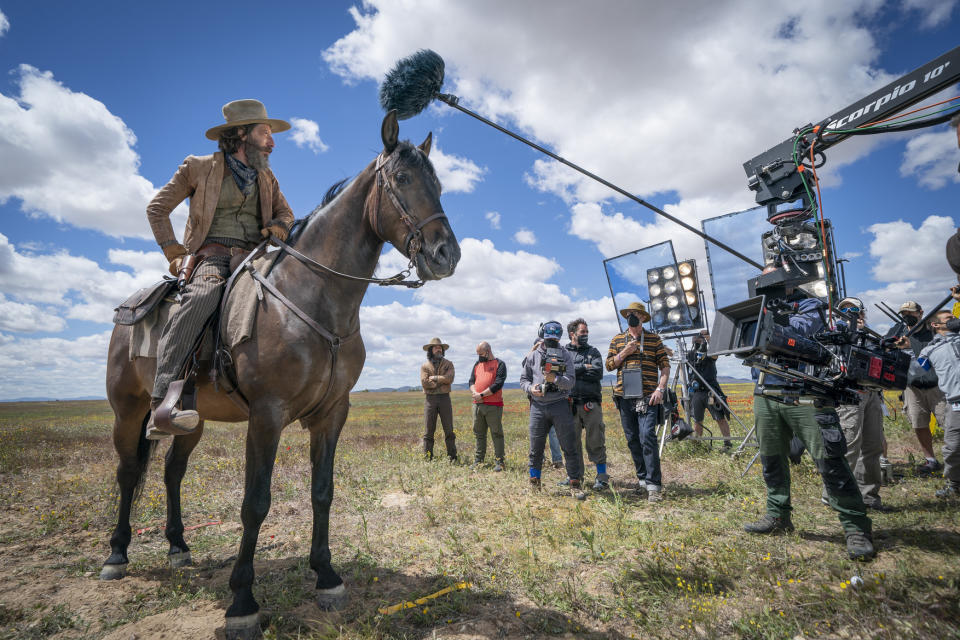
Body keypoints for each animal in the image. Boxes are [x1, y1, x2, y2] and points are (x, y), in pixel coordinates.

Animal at [103, 112, 464, 636]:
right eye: (401, 179)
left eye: (438, 184)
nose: (445, 255)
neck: (314, 297)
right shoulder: (267, 416)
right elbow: (255, 503)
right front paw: (242, 602)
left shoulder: (332, 413)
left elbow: (323, 492)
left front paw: (327, 576)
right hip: (127, 411)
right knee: (129, 472)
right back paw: (116, 554)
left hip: (192, 417)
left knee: (172, 471)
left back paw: (178, 546)